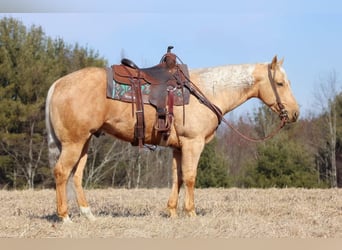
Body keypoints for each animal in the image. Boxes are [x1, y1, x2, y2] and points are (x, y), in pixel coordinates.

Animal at [45, 55, 300, 223]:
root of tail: (57, 84)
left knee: (76, 176)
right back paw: (65, 217)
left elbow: (176, 178)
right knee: (61, 173)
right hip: (73, 143)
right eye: (280, 83)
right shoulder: (193, 143)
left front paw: (172, 212)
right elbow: (190, 177)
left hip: (85, 142)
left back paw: (88, 214)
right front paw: (191, 212)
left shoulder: (178, 147)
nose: (295, 113)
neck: (207, 91)